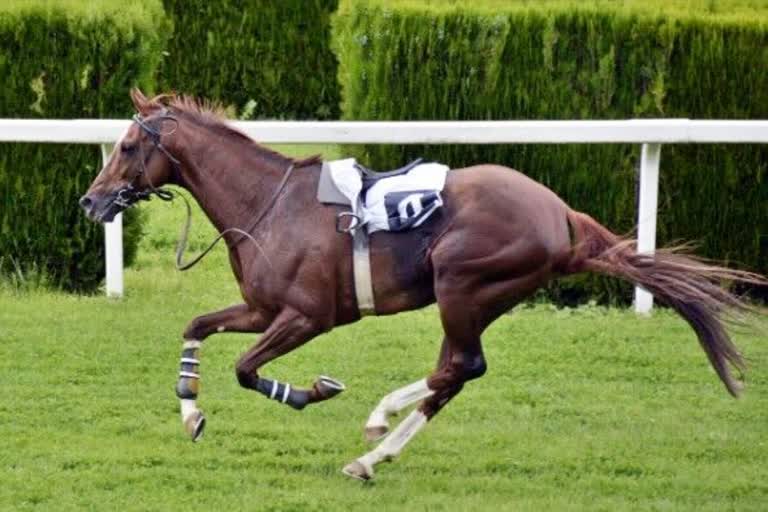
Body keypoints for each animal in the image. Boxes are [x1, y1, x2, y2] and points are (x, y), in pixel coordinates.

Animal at [81, 91, 764, 480]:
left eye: (128, 145)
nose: (91, 201)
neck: (268, 204)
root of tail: (561, 215)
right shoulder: (261, 307)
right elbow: (196, 327)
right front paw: (191, 412)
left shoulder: (307, 316)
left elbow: (248, 370)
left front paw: (312, 391)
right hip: (475, 298)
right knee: (453, 374)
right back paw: (372, 454)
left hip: (463, 284)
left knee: (460, 366)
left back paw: (377, 423)